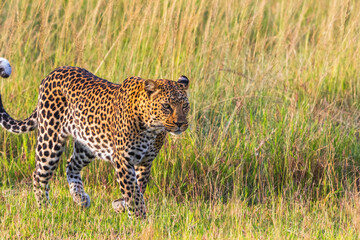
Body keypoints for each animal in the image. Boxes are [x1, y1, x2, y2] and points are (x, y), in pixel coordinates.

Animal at [0, 57, 190, 218]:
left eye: (185, 105)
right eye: (166, 106)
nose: (180, 123)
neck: (153, 129)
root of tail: (52, 73)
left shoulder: (145, 161)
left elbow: (139, 187)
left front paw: (120, 205)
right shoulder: (123, 159)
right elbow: (132, 192)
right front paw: (139, 219)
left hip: (88, 145)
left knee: (70, 165)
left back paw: (80, 198)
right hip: (50, 140)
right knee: (39, 175)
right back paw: (45, 209)